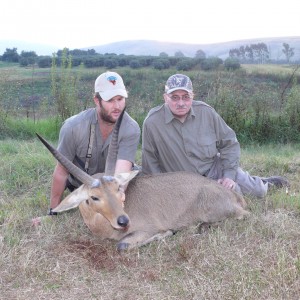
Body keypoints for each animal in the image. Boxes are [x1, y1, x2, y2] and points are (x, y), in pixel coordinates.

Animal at [37, 110, 248, 251]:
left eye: (118, 188)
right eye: (94, 197)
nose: (123, 220)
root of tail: (232, 194)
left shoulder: (143, 230)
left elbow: (122, 245)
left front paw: (166, 233)